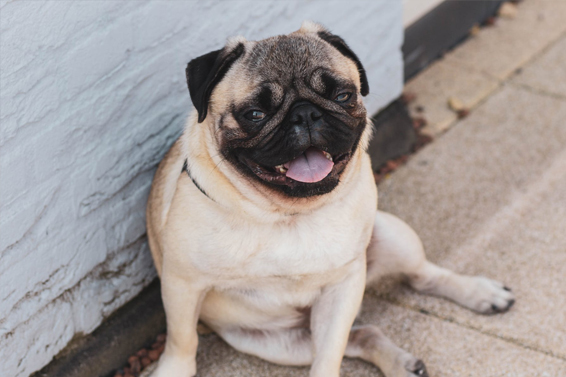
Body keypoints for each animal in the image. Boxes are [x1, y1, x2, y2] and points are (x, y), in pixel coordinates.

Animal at [145, 21, 516, 376]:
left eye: (342, 95)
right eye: (255, 115)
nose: (305, 114)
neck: (286, 214)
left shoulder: (342, 287)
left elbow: (329, 354)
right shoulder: (182, 285)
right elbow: (182, 340)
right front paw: (173, 370)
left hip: (392, 235)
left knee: (423, 276)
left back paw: (481, 293)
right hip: (277, 345)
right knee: (364, 334)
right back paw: (403, 363)